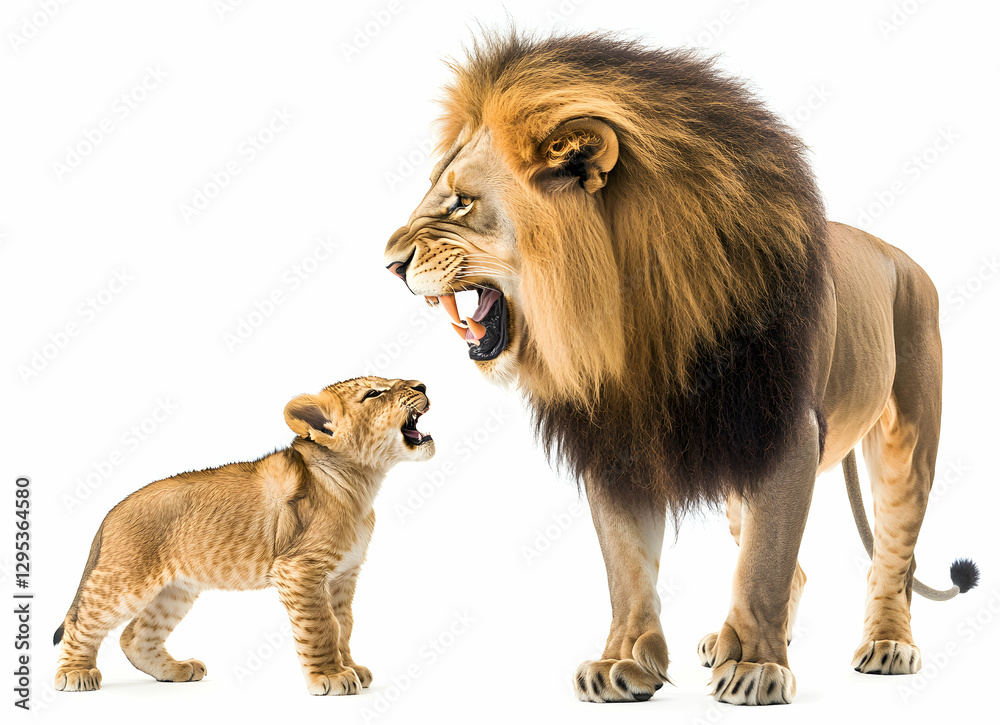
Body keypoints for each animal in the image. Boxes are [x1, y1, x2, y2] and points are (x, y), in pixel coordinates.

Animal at [53, 377, 434, 694]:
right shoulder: (299, 570)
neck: (362, 483)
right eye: (375, 393)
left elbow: (344, 624)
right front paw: (331, 675)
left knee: (134, 636)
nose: (422, 385)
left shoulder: (343, 575)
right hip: (123, 581)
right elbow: (321, 625)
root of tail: (112, 511)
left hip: (176, 590)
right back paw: (74, 674)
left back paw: (176, 671)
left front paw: (350, 667)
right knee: (81, 621)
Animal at [383, 31, 979, 704]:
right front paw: (625, 661)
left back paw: (887, 644)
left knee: (893, 557)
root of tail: (898, 255)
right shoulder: (617, 442)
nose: (389, 262)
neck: (631, 316)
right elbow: (628, 567)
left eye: (462, 203)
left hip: (906, 440)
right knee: (797, 568)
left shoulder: (784, 431)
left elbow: (764, 565)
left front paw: (756, 667)